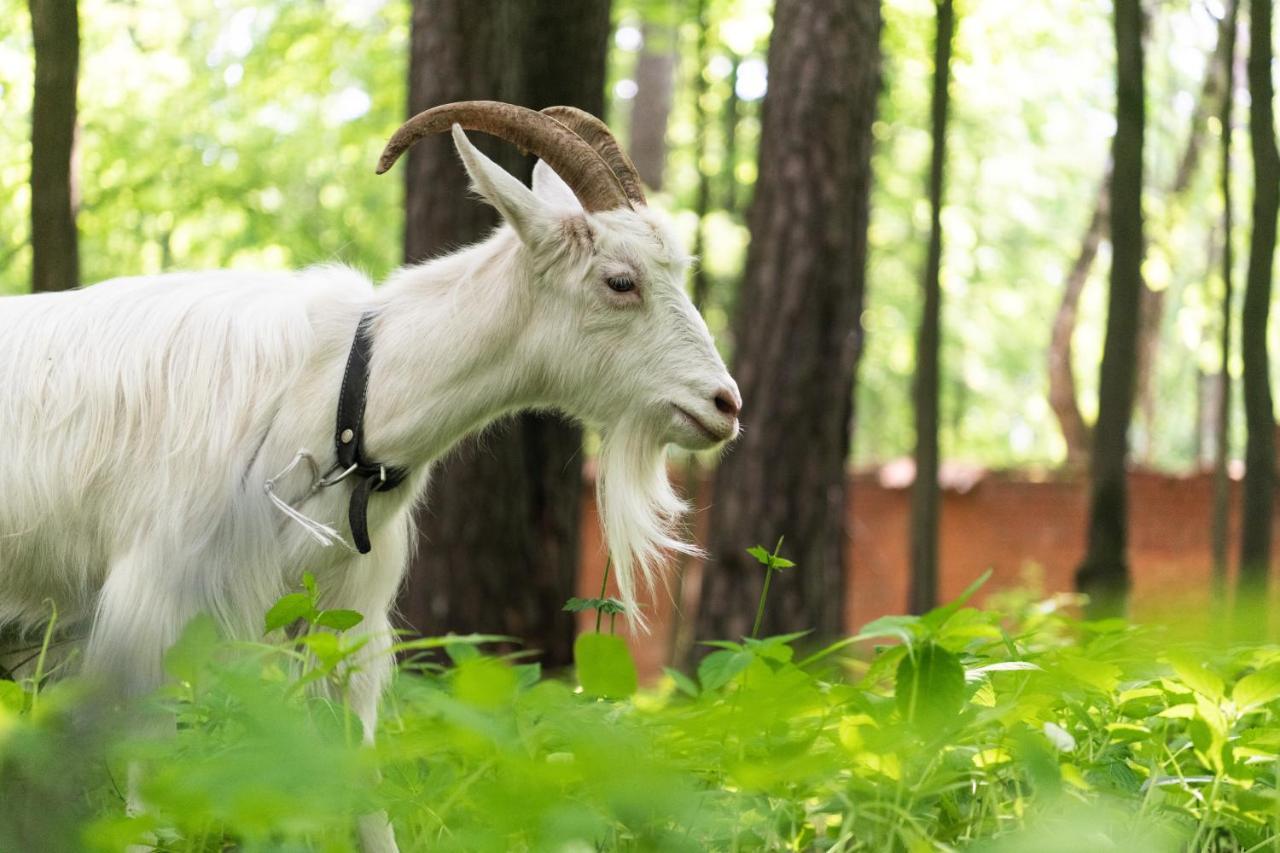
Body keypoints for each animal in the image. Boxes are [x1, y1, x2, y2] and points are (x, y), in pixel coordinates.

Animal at [0, 101, 742, 850]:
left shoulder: (341, 609)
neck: (341, 393)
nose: (725, 405)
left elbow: (359, 773)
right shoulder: (154, 599)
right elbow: (146, 779)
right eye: (620, 281)